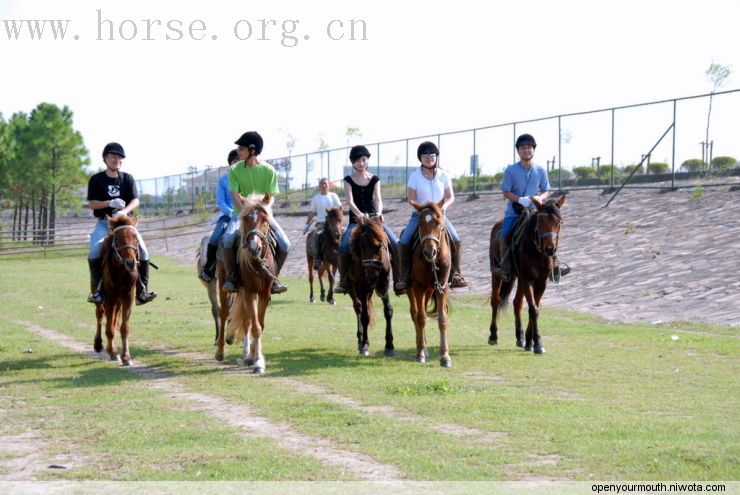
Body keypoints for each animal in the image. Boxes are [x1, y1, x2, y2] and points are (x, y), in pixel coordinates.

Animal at [93, 215, 139, 366]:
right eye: (118, 239)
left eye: (135, 238)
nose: (130, 263)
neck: (121, 271)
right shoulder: (110, 298)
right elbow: (109, 328)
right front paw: (113, 353)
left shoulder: (128, 297)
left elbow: (124, 328)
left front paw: (126, 357)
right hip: (101, 297)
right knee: (100, 315)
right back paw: (99, 345)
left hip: (119, 302)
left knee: (113, 321)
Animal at [220, 196, 278, 374]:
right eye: (246, 219)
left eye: (265, 220)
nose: (254, 247)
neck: (257, 263)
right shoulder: (250, 291)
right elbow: (255, 326)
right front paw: (256, 360)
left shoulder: (265, 293)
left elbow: (259, 324)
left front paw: (256, 358)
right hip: (227, 287)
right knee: (226, 315)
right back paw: (223, 353)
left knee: (246, 320)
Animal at [346, 215, 396, 358]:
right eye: (362, 246)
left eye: (379, 246)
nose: (371, 277)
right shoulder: (362, 287)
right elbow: (365, 316)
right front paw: (364, 345)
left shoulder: (383, 285)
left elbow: (388, 311)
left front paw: (389, 345)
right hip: (352, 287)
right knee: (358, 308)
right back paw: (360, 339)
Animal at [404, 200, 450, 366]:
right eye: (420, 223)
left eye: (438, 222)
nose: (430, 252)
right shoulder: (417, 287)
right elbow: (421, 318)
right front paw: (419, 354)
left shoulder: (442, 287)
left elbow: (442, 319)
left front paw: (445, 357)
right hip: (411, 290)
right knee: (415, 313)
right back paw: (422, 348)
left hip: (429, 290)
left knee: (422, 309)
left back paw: (425, 348)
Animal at [488, 196, 568, 354]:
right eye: (540, 221)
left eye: (559, 222)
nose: (550, 249)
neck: (536, 250)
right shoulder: (527, 279)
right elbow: (533, 310)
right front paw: (537, 343)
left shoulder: (540, 282)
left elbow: (535, 307)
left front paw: (530, 341)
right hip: (498, 274)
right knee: (495, 300)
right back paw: (493, 335)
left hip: (519, 280)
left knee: (517, 303)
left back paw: (520, 337)